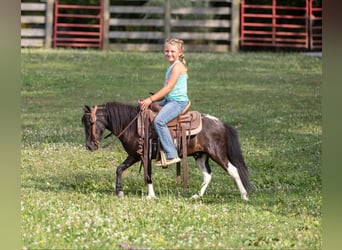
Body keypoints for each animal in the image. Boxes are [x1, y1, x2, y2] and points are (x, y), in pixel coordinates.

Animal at [81, 100, 250, 200]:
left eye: (90, 123)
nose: (90, 146)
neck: (133, 126)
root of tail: (221, 124)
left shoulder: (144, 156)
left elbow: (148, 175)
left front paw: (150, 196)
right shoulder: (134, 155)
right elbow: (119, 169)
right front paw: (119, 191)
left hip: (217, 154)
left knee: (233, 170)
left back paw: (244, 195)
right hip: (201, 155)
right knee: (207, 175)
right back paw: (196, 196)